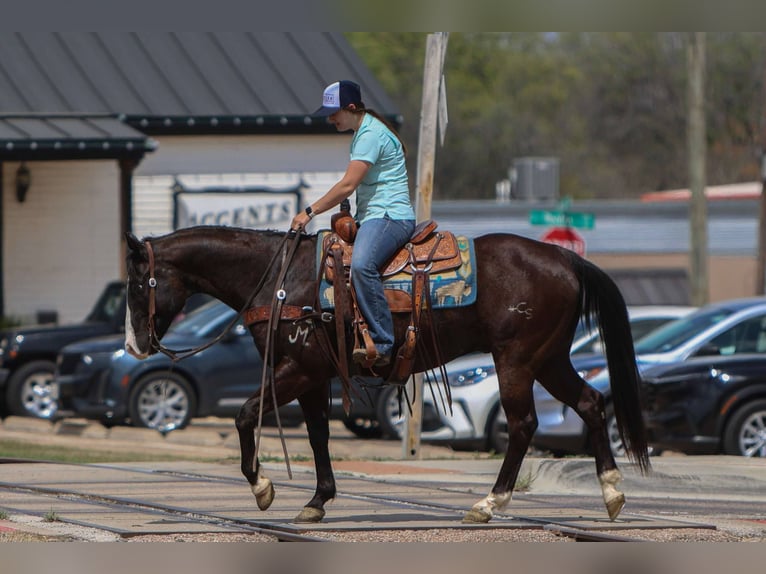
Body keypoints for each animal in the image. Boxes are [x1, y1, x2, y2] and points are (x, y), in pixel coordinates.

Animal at [123, 225, 650, 524]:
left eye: (136, 284)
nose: (133, 347)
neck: (280, 279)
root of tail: (566, 259)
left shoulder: (298, 369)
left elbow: (246, 415)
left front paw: (262, 489)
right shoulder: (313, 375)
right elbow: (318, 435)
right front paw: (317, 501)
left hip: (517, 360)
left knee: (522, 425)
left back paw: (489, 504)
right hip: (550, 358)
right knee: (590, 404)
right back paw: (612, 493)